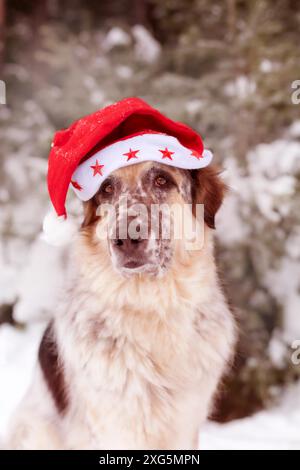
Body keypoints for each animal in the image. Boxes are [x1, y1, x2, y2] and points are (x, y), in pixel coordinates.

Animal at [4, 162, 236, 452]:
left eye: (162, 180)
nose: (126, 237)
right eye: (107, 189)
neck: (151, 309)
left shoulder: (185, 422)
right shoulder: (117, 424)